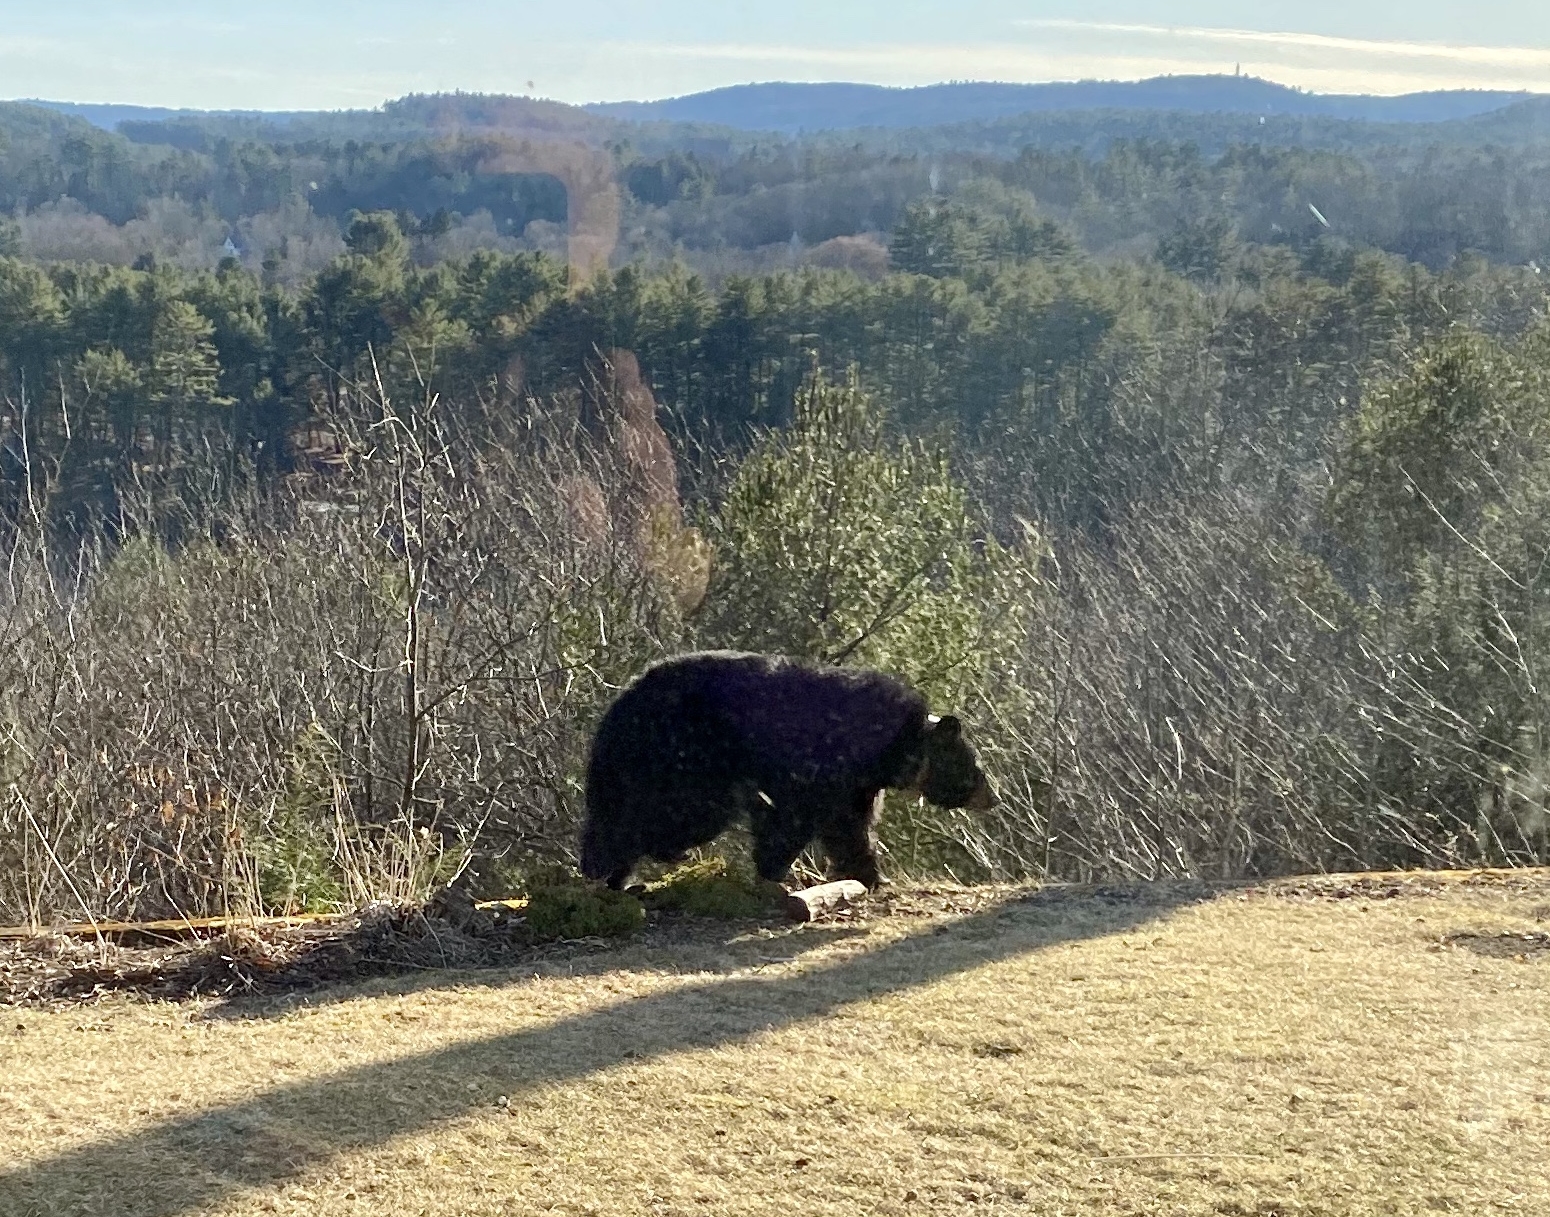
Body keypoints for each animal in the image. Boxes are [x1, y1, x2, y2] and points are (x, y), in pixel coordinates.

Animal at [579, 651, 992, 886]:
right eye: (975, 768)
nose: (992, 797)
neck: (895, 747)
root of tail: (618, 709)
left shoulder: (856, 785)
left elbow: (850, 827)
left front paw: (869, 873)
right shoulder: (822, 765)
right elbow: (798, 817)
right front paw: (778, 869)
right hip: (683, 757)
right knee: (666, 817)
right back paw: (621, 863)